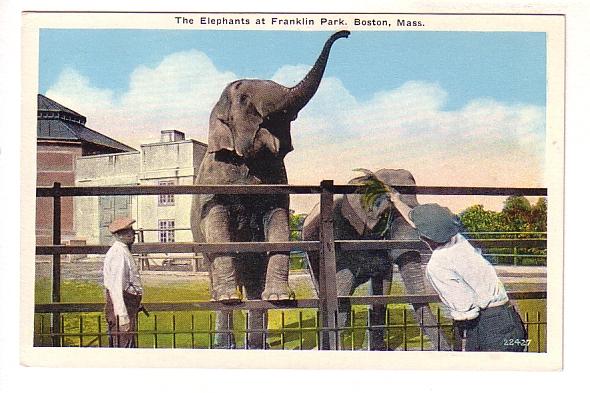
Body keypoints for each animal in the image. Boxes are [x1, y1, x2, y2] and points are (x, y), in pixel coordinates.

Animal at [191, 32, 352, 346]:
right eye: (243, 99)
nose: (347, 34)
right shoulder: (213, 182)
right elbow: (216, 223)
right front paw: (229, 297)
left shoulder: (278, 179)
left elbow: (278, 220)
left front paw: (280, 297)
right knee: (214, 272)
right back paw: (225, 320)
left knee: (253, 282)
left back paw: (256, 343)